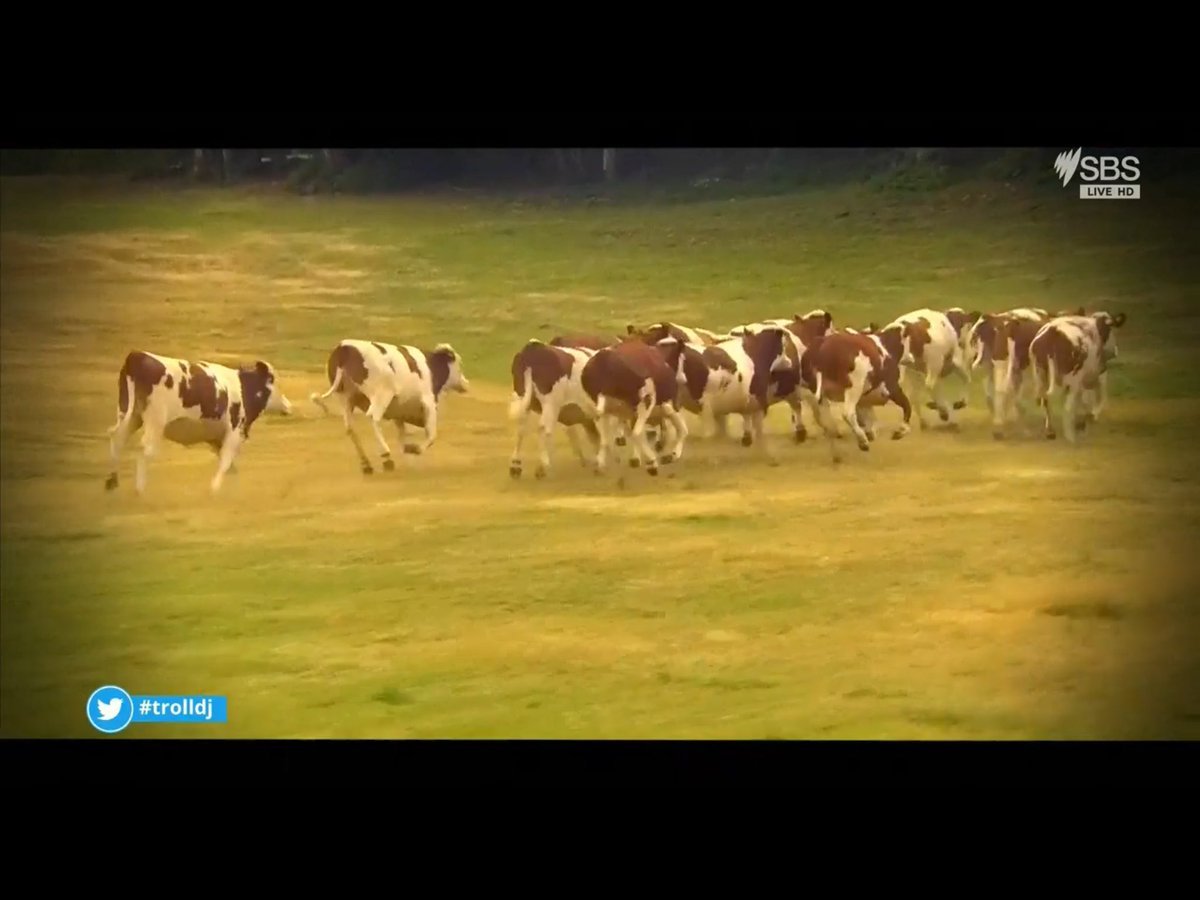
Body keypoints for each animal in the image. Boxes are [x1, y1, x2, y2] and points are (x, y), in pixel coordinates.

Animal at [105, 350, 292, 495]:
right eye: (277, 383)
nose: (289, 405)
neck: (243, 388)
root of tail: (137, 355)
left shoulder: (216, 438)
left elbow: (230, 467)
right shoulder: (233, 431)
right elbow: (226, 462)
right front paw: (214, 490)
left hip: (130, 415)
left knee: (118, 439)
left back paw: (112, 482)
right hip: (155, 422)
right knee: (145, 450)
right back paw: (140, 491)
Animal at [310, 339, 469, 474]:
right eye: (459, 364)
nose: (466, 383)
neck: (432, 367)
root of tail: (344, 348)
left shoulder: (400, 412)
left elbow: (402, 434)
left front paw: (407, 452)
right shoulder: (428, 401)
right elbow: (431, 435)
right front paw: (414, 449)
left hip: (346, 399)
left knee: (350, 428)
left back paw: (366, 463)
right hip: (381, 395)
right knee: (373, 418)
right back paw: (386, 455)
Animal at [508, 338, 602, 479]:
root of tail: (533, 348)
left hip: (523, 398)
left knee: (521, 428)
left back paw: (516, 465)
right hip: (550, 403)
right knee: (544, 428)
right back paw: (543, 466)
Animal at [580, 338, 691, 475]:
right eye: (683, 358)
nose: (684, 379)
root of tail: (604, 359)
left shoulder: (631, 412)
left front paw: (635, 458)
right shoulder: (669, 405)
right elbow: (683, 430)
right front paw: (673, 455)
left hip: (606, 410)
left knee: (605, 439)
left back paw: (600, 465)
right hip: (647, 402)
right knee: (636, 433)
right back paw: (652, 463)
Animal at [1029, 311, 1127, 442]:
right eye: (1111, 328)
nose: (1115, 351)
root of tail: (1052, 331)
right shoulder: (1097, 372)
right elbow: (1097, 396)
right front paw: (1090, 417)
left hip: (1040, 374)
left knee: (1045, 400)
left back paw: (1051, 432)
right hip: (1073, 379)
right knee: (1068, 405)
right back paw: (1070, 436)